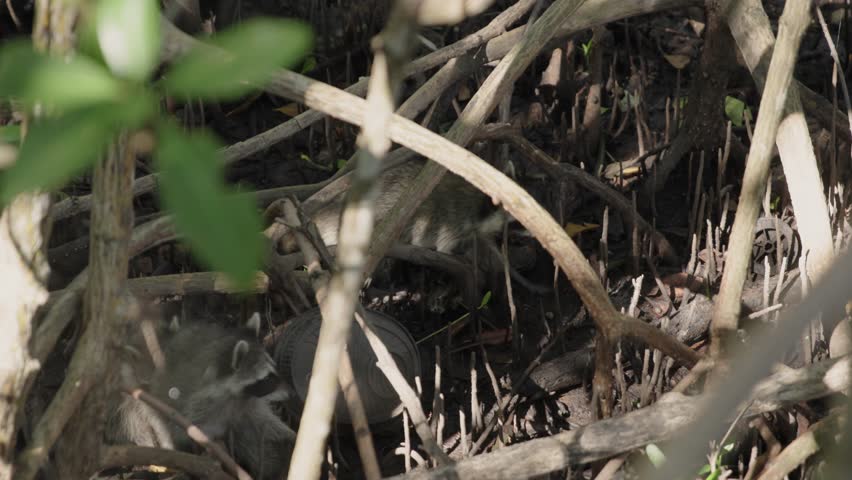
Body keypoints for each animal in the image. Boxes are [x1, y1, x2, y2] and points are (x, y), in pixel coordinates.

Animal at [107, 314, 295, 480]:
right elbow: (173, 429)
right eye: (267, 378)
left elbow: (265, 426)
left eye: (274, 369)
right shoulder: (190, 407)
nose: (290, 391)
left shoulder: (245, 404)